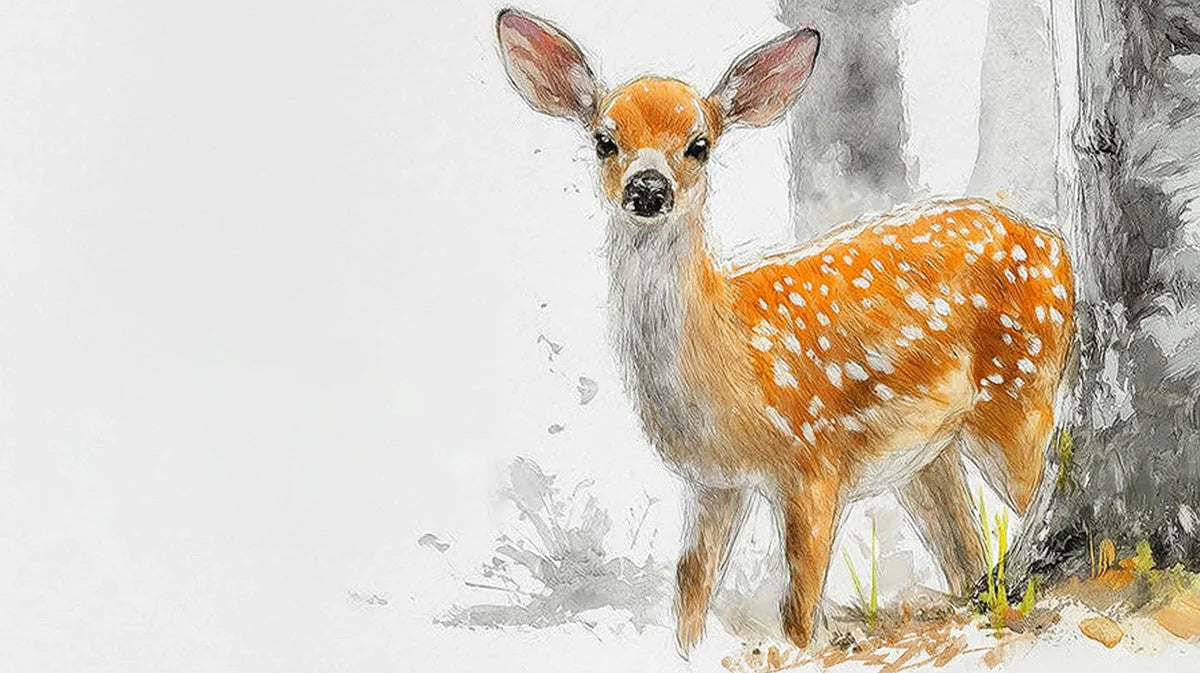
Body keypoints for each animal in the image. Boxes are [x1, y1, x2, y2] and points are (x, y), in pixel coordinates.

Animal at [495, 8, 1075, 654]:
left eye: (699, 145)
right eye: (604, 140)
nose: (648, 188)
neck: (729, 361)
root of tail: (1057, 243)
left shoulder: (813, 459)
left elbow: (797, 614)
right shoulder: (712, 484)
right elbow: (690, 589)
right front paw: (690, 648)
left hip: (1019, 390)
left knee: (1033, 492)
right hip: (929, 452)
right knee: (968, 557)